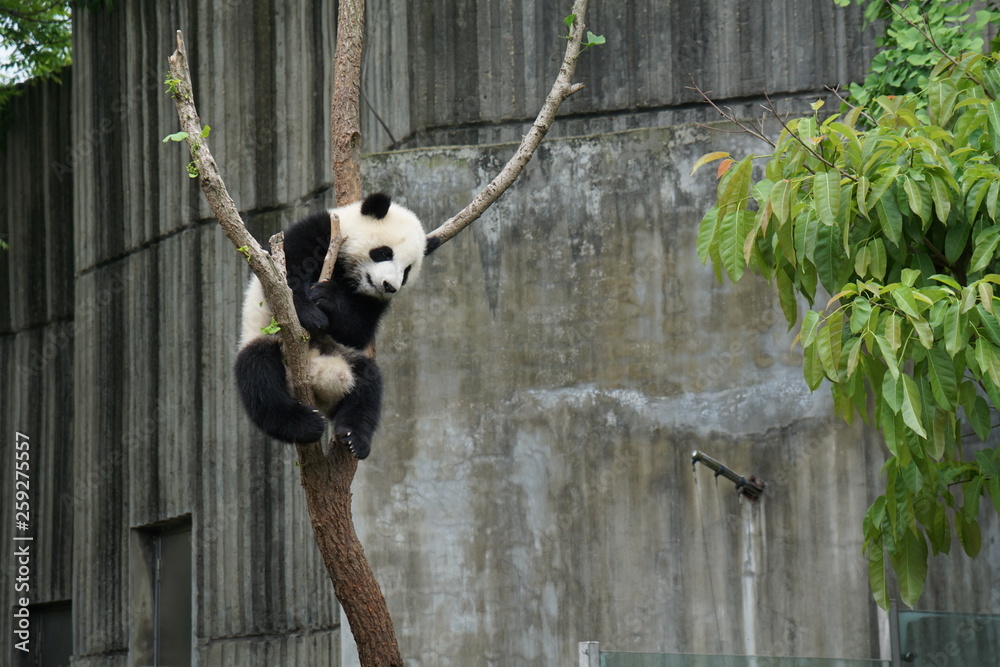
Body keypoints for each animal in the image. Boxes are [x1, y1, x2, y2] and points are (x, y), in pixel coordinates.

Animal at [234, 193, 429, 459]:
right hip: (264, 339)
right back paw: (306, 424)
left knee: (368, 385)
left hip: (343, 356)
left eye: (407, 271)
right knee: (260, 379)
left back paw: (353, 437)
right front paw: (310, 314)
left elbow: (358, 330)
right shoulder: (317, 232)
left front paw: (328, 299)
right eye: (383, 253)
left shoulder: (374, 303)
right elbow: (286, 277)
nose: (389, 286)